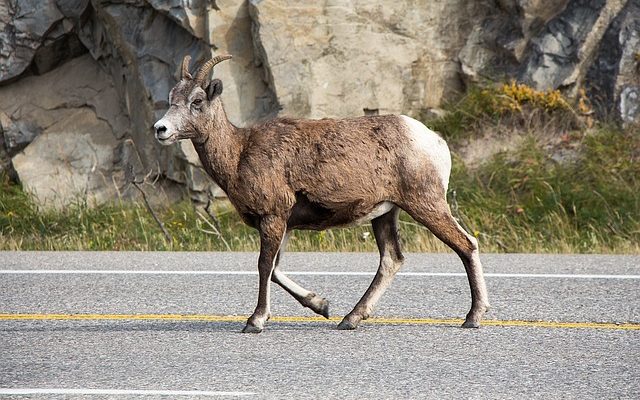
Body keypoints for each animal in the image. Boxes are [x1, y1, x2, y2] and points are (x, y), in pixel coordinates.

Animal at [155, 54, 490, 332]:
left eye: (197, 100)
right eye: (172, 98)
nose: (161, 129)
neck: (238, 154)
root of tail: (433, 140)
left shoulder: (273, 217)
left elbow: (264, 266)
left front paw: (255, 321)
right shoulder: (284, 223)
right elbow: (275, 270)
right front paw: (322, 306)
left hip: (425, 204)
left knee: (466, 244)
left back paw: (473, 317)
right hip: (385, 213)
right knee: (391, 260)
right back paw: (350, 319)